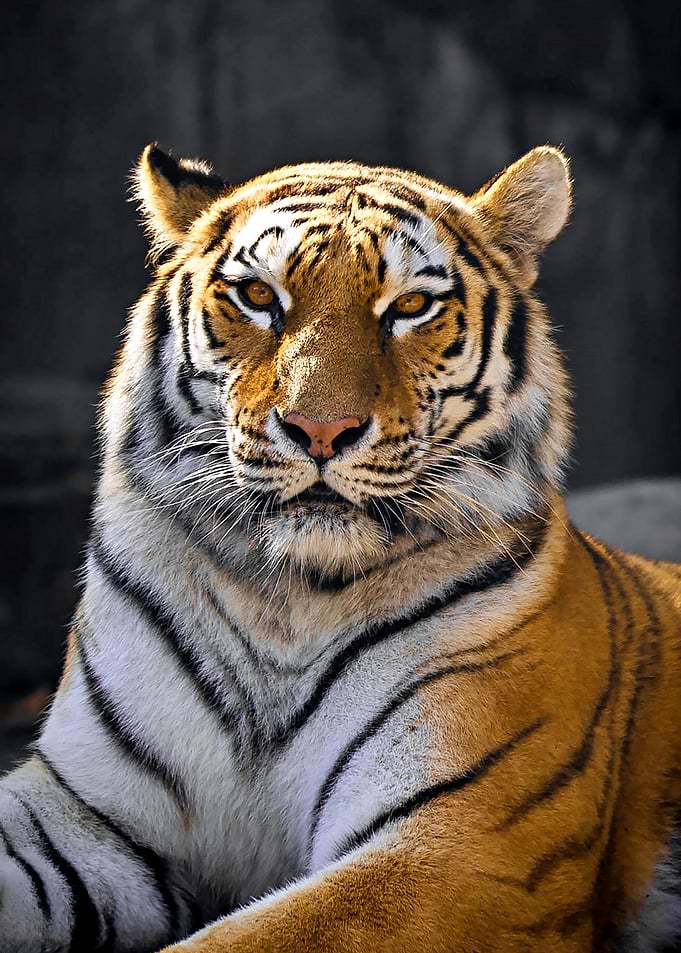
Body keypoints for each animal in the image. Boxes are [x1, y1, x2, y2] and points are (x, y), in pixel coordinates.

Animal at [1, 141, 680, 953]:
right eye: (257, 296)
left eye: (410, 308)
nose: (319, 430)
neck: (283, 600)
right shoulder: (83, 806)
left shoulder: (462, 847)